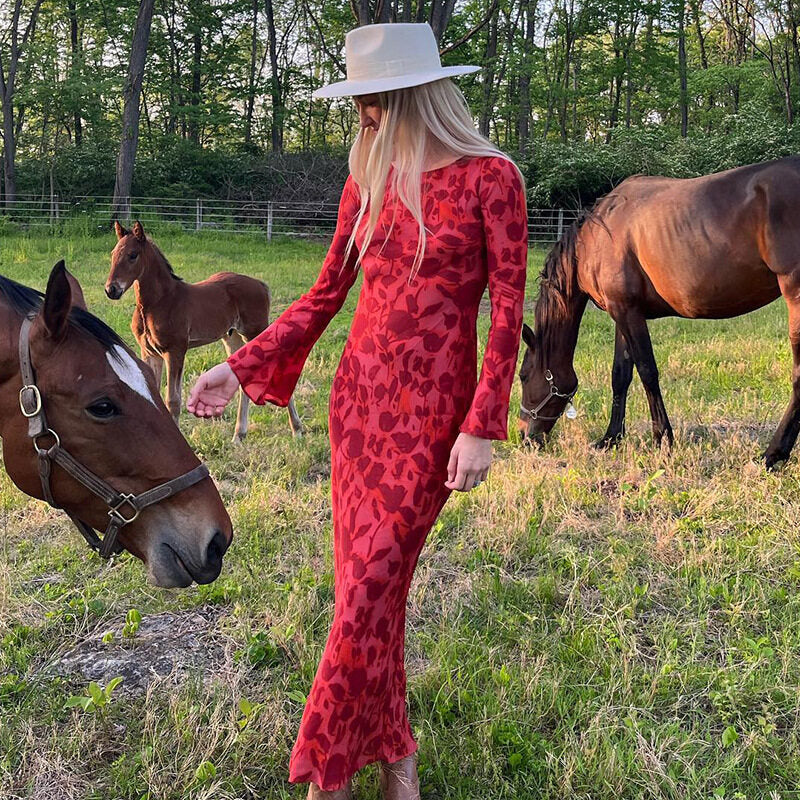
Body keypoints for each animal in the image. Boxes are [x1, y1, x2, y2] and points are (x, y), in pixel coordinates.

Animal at [106, 222, 304, 440]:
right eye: (113, 253)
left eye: (133, 255)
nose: (111, 290)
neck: (159, 302)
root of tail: (261, 284)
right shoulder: (149, 352)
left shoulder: (175, 351)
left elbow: (173, 401)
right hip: (232, 337)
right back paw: (239, 434)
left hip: (255, 331)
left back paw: (297, 430)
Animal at [516, 156, 800, 468]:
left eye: (523, 376)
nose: (524, 436)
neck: (595, 238)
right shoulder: (623, 313)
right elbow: (620, 375)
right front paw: (611, 438)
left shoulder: (627, 312)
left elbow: (647, 371)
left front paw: (663, 439)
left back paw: (772, 454)